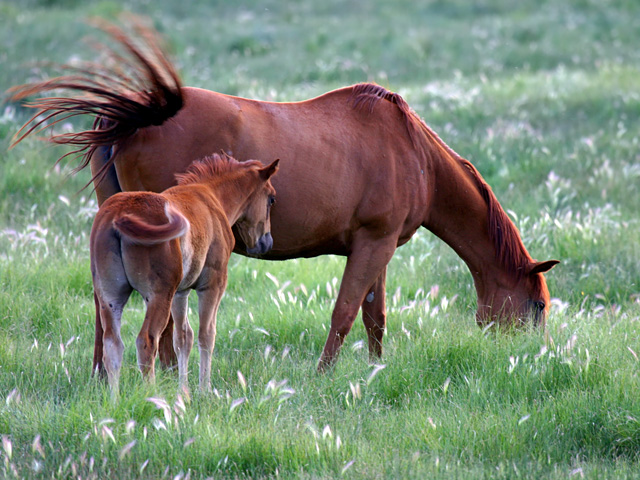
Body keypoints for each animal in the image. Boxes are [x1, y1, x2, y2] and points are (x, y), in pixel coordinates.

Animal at [90, 154, 278, 394]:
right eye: (271, 199)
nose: (266, 242)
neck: (211, 197)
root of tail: (119, 215)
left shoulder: (181, 292)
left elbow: (182, 338)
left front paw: (184, 392)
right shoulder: (213, 285)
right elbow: (206, 335)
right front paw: (204, 391)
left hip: (111, 296)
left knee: (113, 345)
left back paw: (115, 400)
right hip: (158, 296)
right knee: (146, 341)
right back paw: (152, 396)